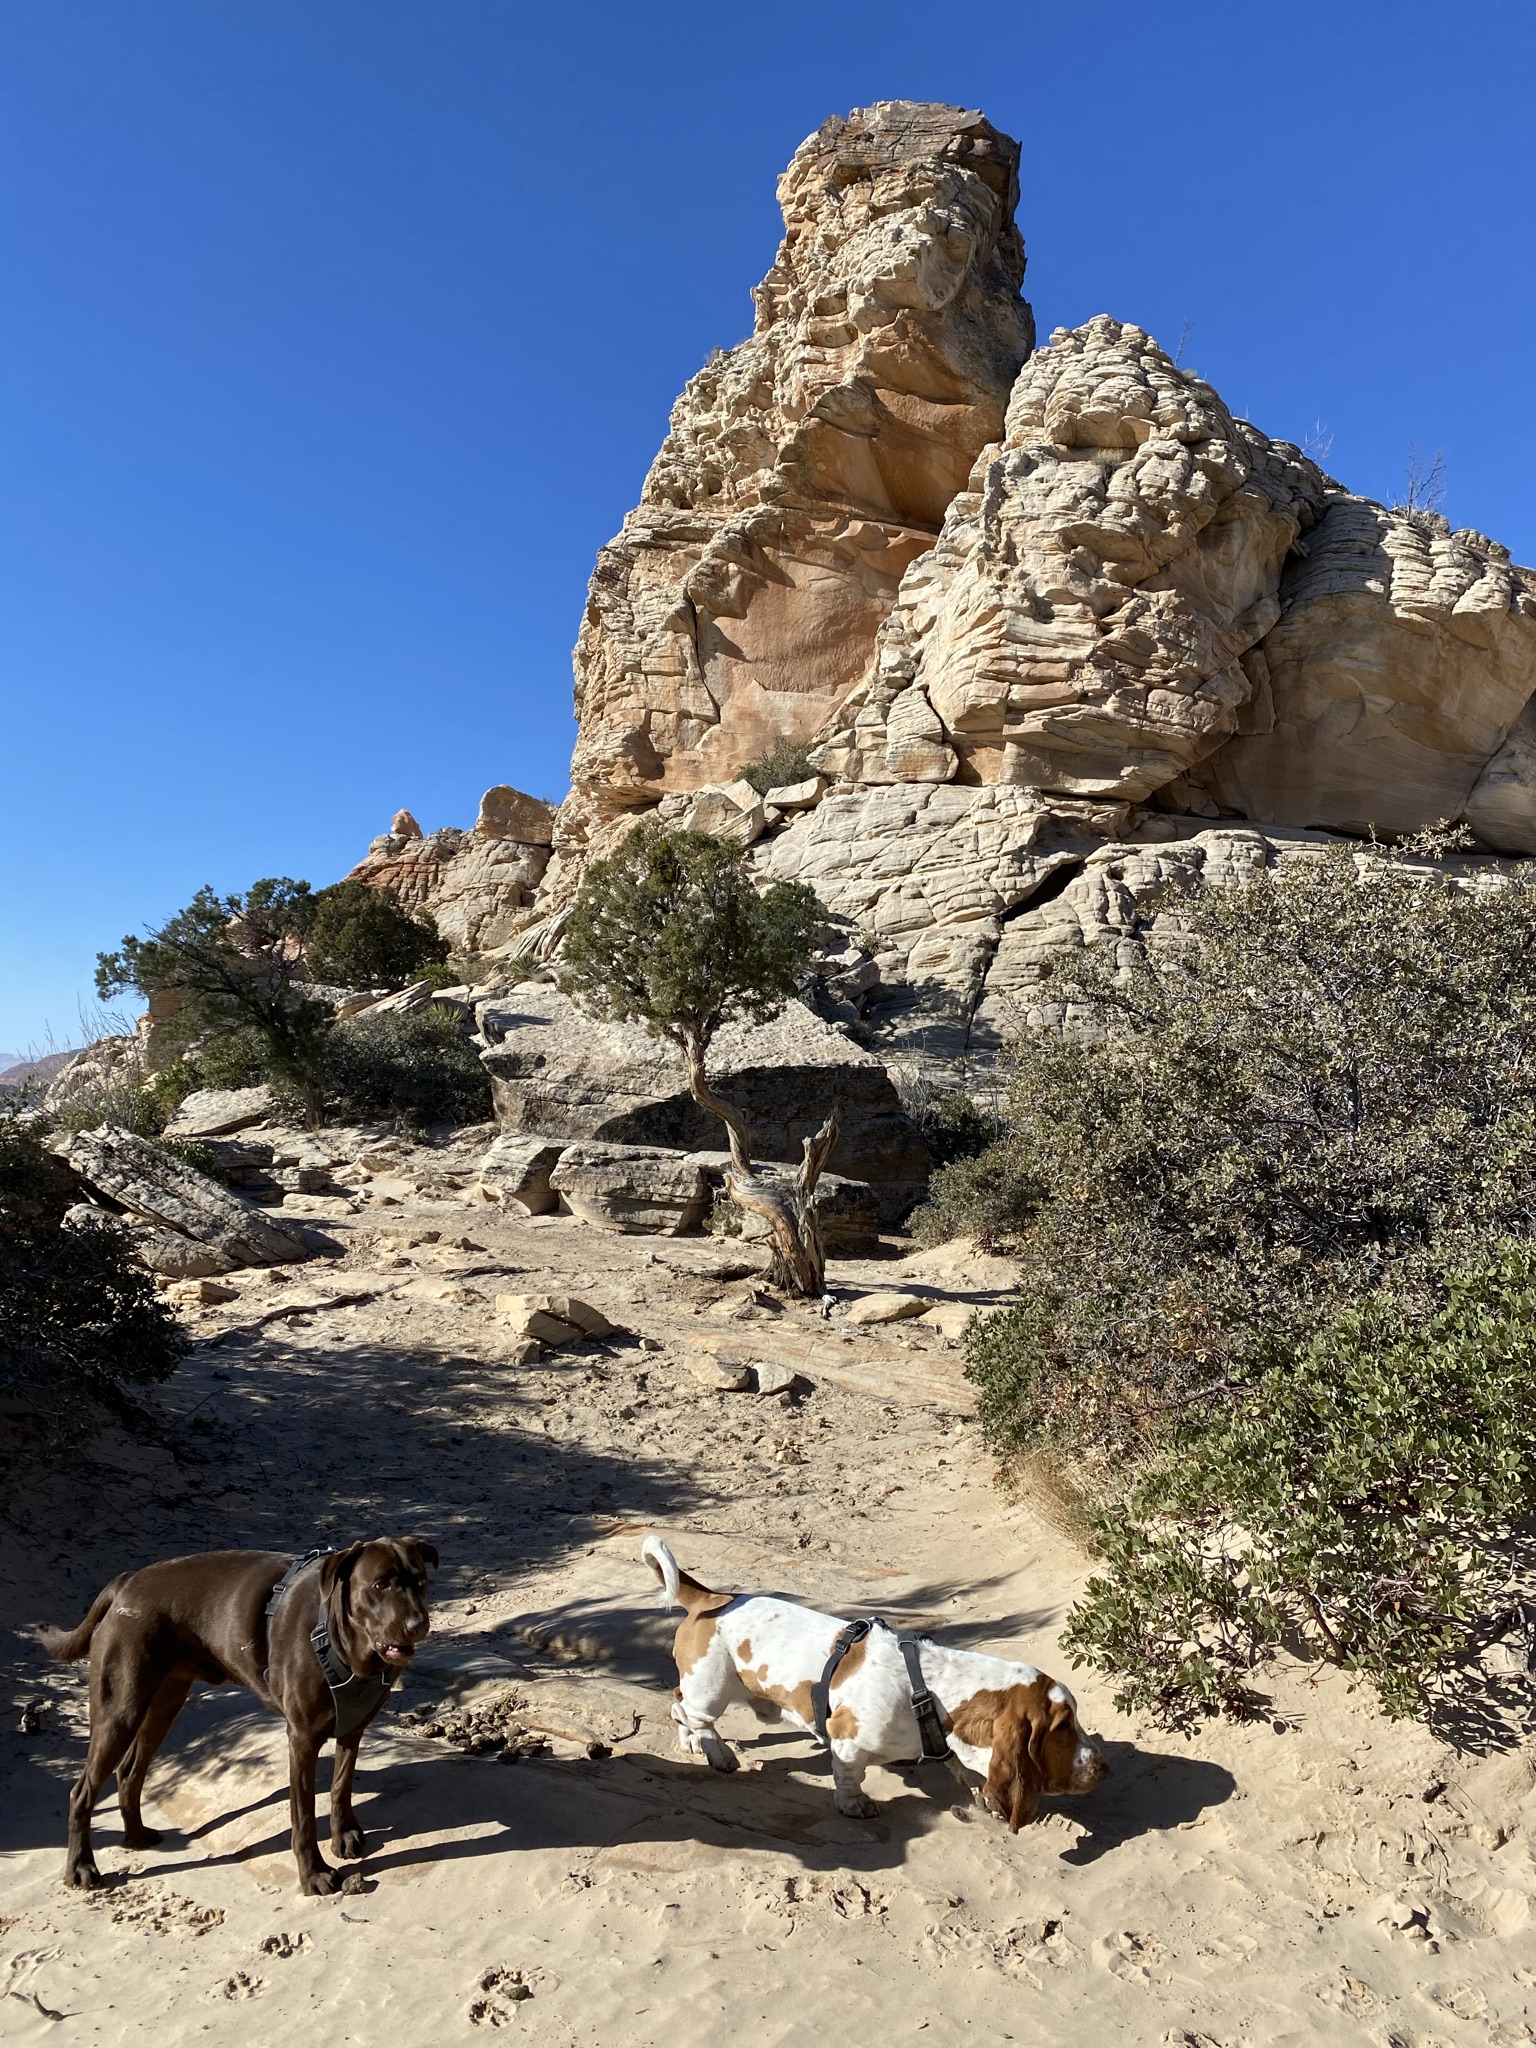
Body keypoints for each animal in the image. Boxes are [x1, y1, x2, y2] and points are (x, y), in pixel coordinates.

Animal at [41, 1540, 436, 1900]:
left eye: (420, 1581)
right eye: (380, 1584)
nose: (418, 1625)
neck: (346, 1645)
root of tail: (125, 1581)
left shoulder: (353, 1727)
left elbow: (341, 1786)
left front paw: (344, 1834)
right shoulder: (303, 1739)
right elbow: (304, 1817)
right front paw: (314, 1874)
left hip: (165, 1701)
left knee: (129, 1771)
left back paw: (136, 1835)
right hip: (120, 1709)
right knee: (82, 1792)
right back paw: (81, 1867)